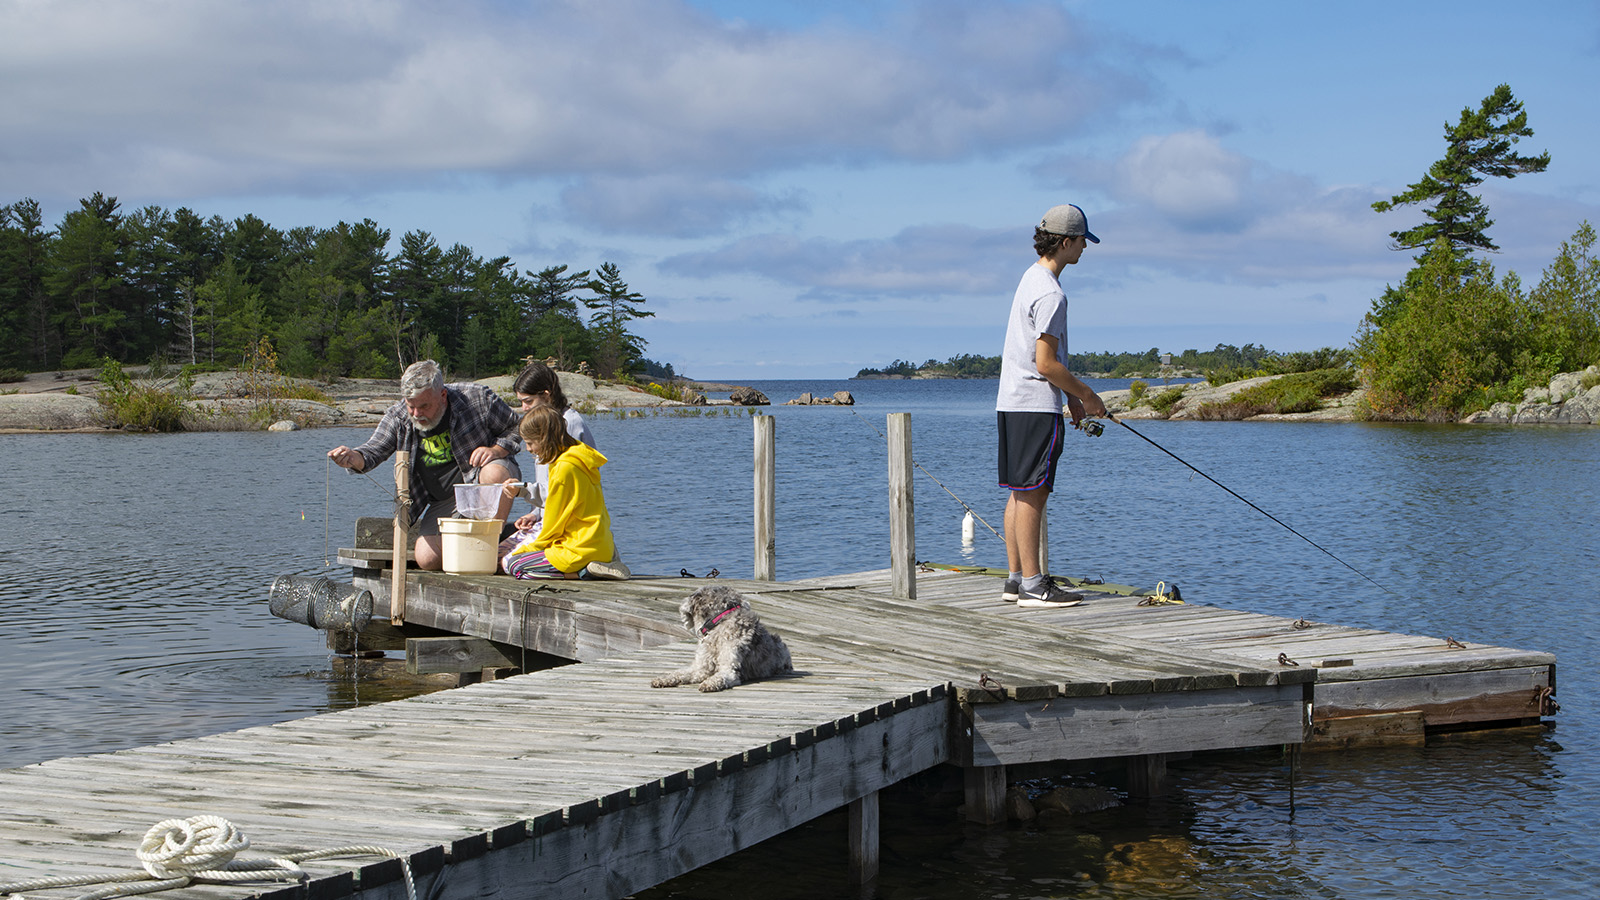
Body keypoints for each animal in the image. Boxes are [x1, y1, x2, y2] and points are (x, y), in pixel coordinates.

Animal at [649, 586, 793, 688]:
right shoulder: (701, 668)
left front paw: (710, 683)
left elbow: (722, 676)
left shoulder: (729, 669)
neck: (718, 624)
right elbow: (681, 673)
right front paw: (663, 679)